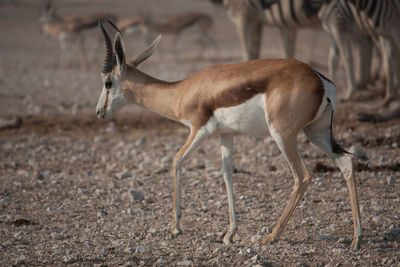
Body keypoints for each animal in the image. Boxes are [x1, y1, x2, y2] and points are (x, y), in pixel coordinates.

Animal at [96, 19, 362, 250]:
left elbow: (176, 160)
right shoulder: (226, 135)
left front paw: (175, 228)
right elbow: (227, 174)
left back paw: (273, 235)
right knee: (345, 161)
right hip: (317, 133)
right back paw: (356, 239)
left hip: (283, 135)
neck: (182, 91)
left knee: (302, 176)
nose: (99, 112)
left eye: (108, 82)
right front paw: (229, 234)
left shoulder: (199, 130)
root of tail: (320, 80)